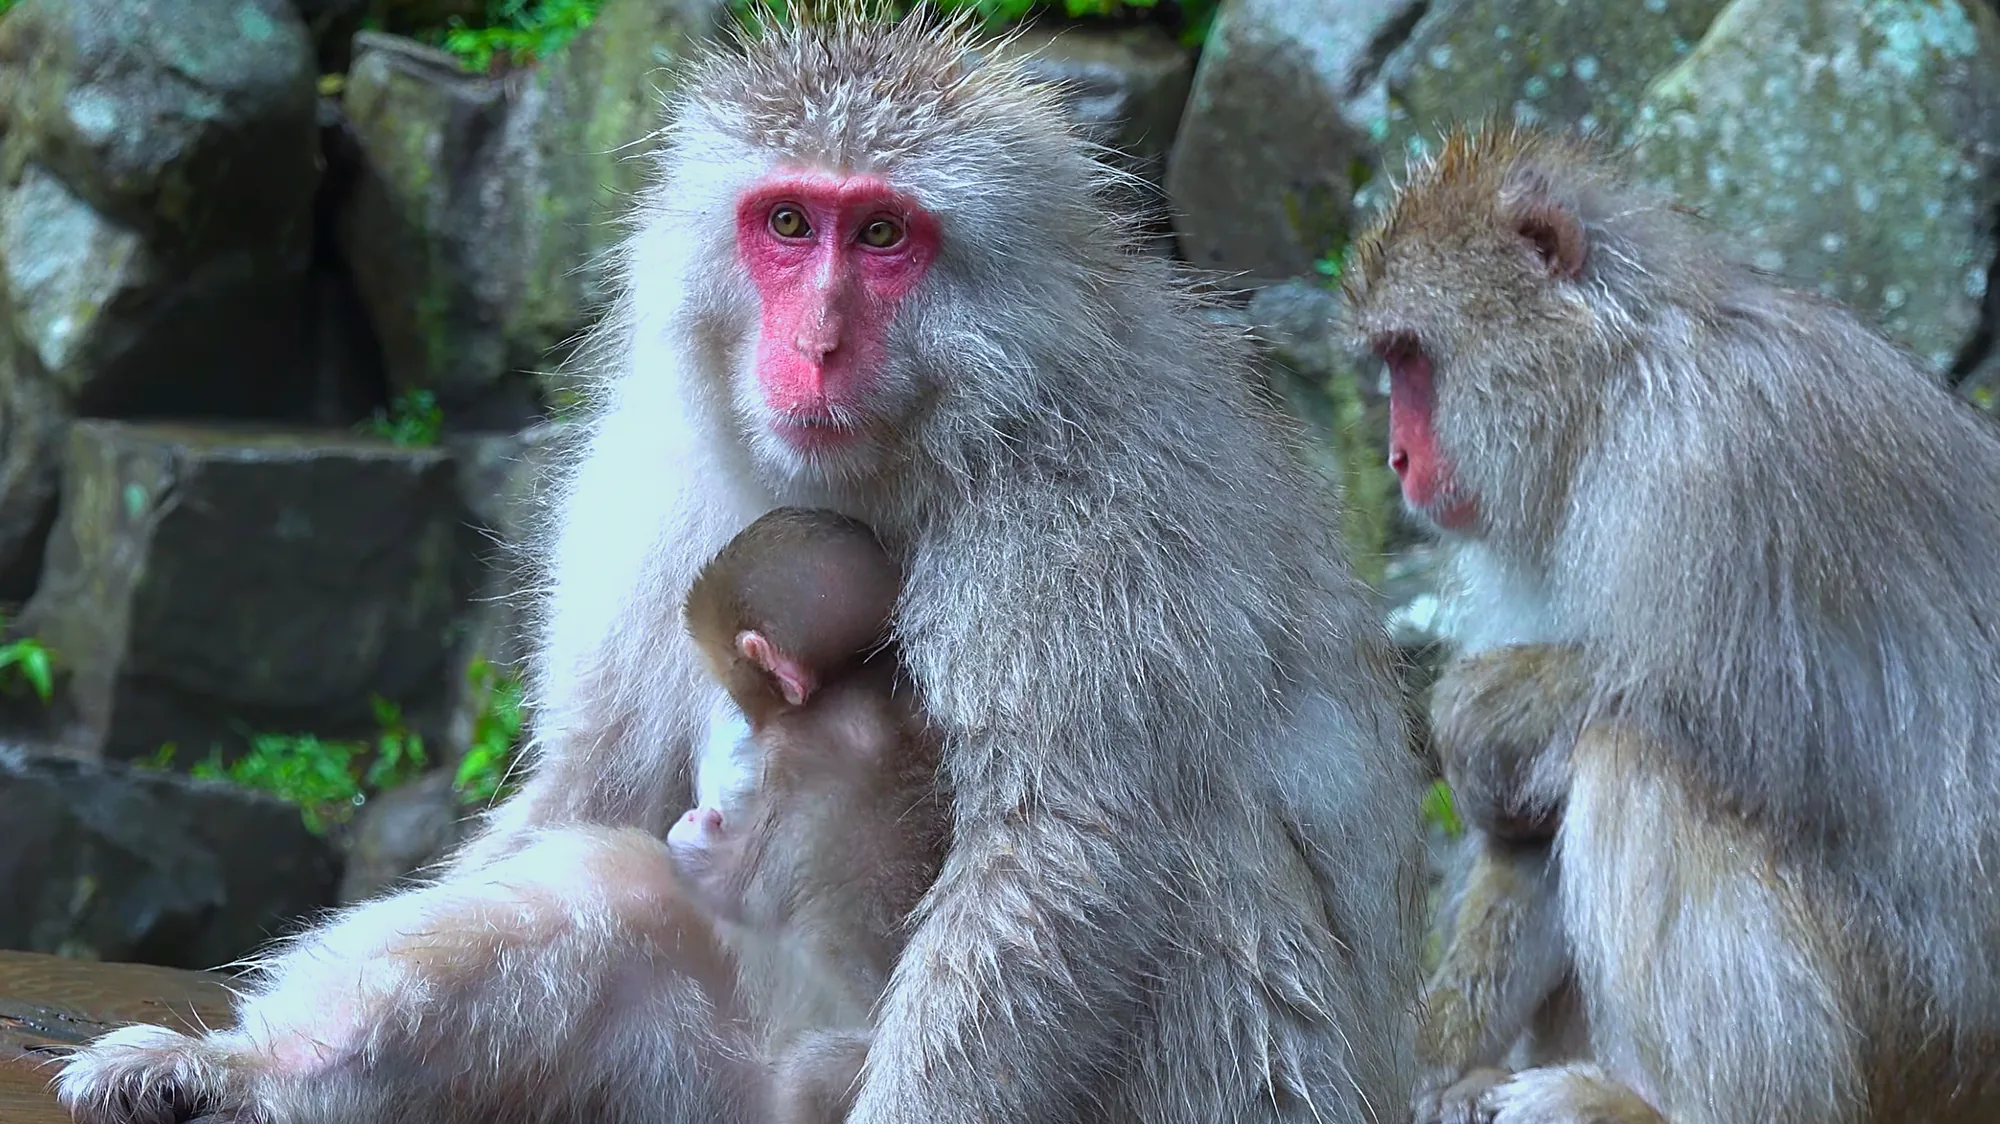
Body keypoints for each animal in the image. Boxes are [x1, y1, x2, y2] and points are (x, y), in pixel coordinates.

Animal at [54, 7, 1426, 1124]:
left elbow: (1062, 848)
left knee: (1197, 870)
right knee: (605, 881)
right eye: (786, 222)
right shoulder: (648, 479)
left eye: (882, 234)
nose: (814, 343)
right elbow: (599, 782)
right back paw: (253, 1074)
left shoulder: (1085, 509)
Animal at [1343, 122, 2000, 1124]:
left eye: (1412, 357)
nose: (1399, 458)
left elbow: (1725, 704)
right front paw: (1429, 1064)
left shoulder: (1704, 458)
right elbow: (1527, 830)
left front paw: (1469, 715)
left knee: (1632, 752)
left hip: (1914, 1044)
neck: (1615, 376)